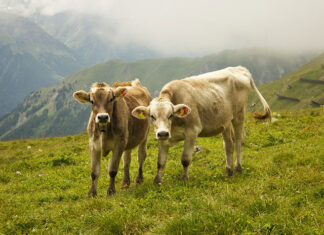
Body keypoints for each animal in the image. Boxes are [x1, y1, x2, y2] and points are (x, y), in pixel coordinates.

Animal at [132, 66, 270, 184]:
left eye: (170, 115)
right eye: (152, 116)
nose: (162, 133)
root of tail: (240, 68)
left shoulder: (192, 132)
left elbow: (185, 159)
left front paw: (184, 179)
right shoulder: (163, 138)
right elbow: (160, 162)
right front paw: (157, 181)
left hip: (239, 115)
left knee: (238, 140)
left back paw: (237, 168)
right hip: (225, 122)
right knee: (230, 144)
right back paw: (229, 170)